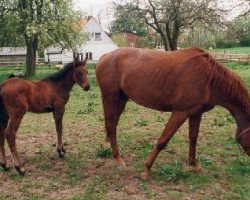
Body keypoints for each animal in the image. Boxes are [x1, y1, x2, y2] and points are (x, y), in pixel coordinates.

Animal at [96, 47, 250, 179]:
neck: (209, 79)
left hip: (121, 99)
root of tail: (105, 57)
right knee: (111, 126)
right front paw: (146, 170)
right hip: (111, 97)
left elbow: (193, 139)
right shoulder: (179, 113)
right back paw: (118, 159)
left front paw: (194, 165)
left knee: (112, 124)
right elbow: (162, 141)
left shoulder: (196, 114)